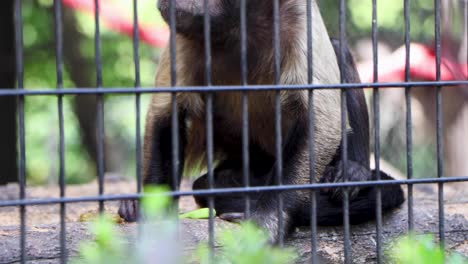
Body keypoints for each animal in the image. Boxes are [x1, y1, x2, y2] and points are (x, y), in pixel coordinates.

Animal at [119, 0, 404, 242]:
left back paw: (353, 169)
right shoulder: (184, 31)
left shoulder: (297, 11)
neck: (238, 22)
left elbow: (321, 120)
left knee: (338, 49)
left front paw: (268, 219)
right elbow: (165, 114)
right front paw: (151, 207)